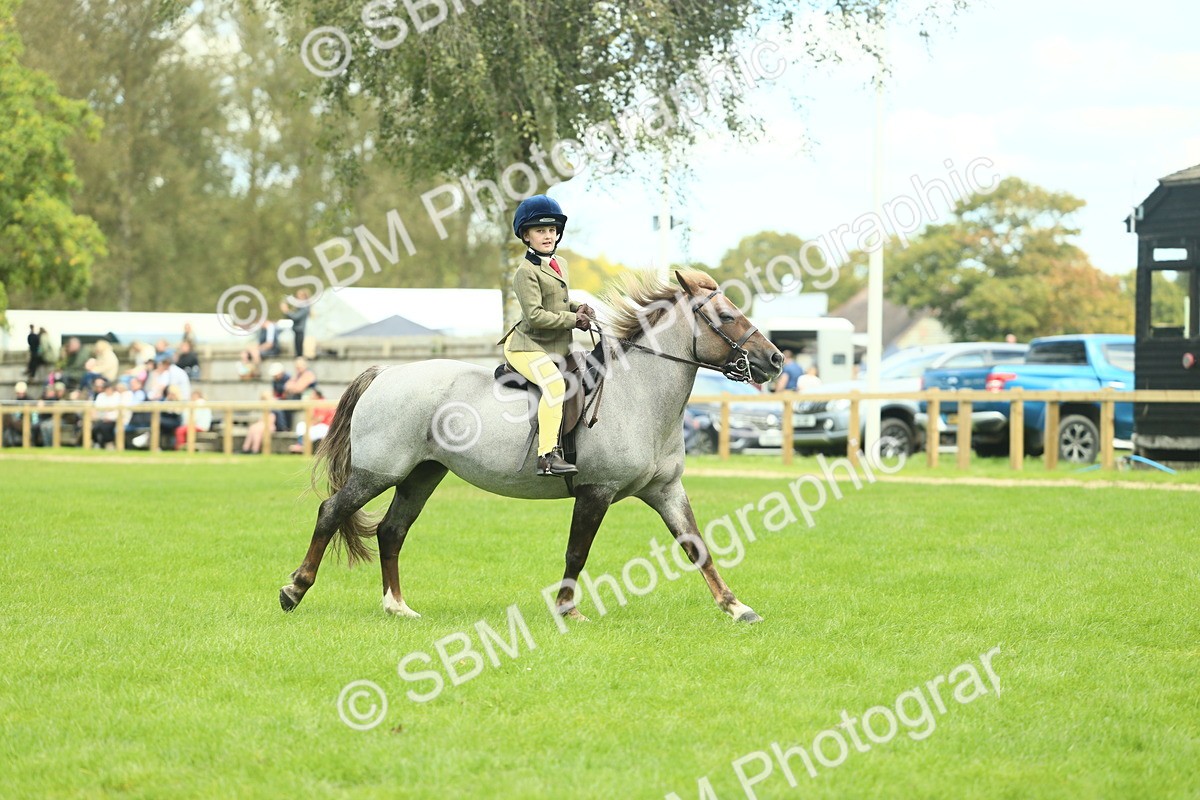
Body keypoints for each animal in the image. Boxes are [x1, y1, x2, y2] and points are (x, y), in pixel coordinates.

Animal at [279, 270, 784, 623]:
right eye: (726, 316)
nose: (775, 359)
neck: (639, 391)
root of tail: (385, 372)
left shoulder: (665, 490)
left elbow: (697, 547)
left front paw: (737, 607)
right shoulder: (596, 492)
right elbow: (577, 553)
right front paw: (567, 609)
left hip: (422, 475)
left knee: (391, 530)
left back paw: (397, 606)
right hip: (379, 472)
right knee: (332, 511)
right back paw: (294, 590)